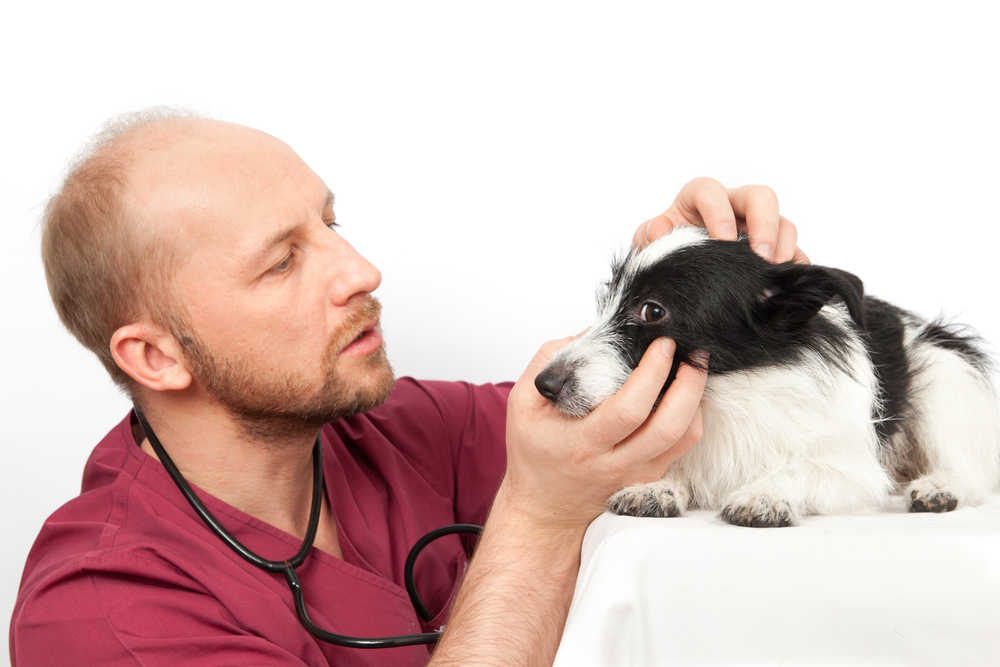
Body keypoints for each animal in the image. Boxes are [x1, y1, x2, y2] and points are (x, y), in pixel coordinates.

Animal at [536, 227, 1000, 528]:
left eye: (652, 310)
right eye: (607, 300)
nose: (545, 384)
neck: (725, 394)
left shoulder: (854, 473)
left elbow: (805, 468)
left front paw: (765, 493)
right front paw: (658, 486)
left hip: (943, 370)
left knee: (970, 473)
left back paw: (939, 487)